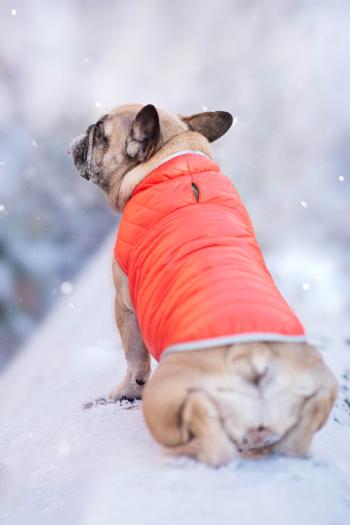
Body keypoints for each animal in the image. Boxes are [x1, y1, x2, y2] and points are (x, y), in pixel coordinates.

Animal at [70, 104, 336, 464]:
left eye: (99, 132)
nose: (83, 132)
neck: (171, 159)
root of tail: (253, 357)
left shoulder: (124, 304)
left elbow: (134, 361)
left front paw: (123, 393)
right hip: (321, 385)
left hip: (164, 398)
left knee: (210, 438)